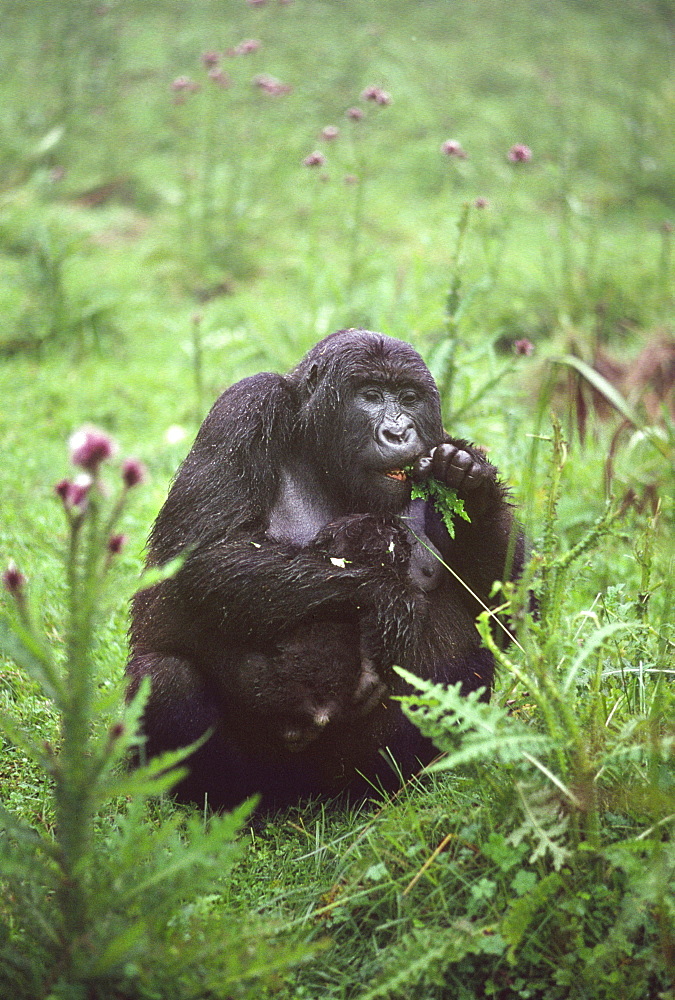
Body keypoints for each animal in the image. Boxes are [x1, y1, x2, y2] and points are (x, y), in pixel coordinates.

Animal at [129, 328, 524, 812]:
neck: (313, 445)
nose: (398, 432)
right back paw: (216, 806)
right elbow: (203, 559)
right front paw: (386, 595)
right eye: (370, 395)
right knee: (164, 676)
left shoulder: (434, 444)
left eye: (409, 398)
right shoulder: (245, 405)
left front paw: (471, 482)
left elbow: (501, 614)